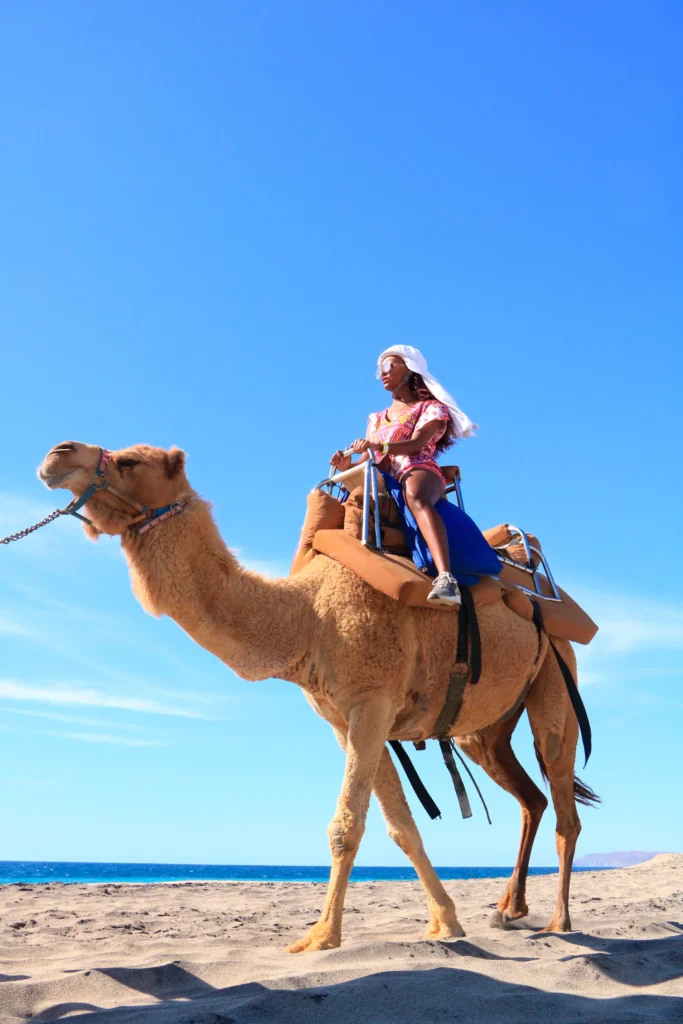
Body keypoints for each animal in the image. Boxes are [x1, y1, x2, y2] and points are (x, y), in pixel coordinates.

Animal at [38, 439, 598, 952]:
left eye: (130, 461)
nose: (56, 454)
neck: (309, 618)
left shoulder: (371, 703)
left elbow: (346, 825)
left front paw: (321, 937)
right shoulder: (346, 719)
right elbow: (401, 825)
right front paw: (445, 923)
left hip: (555, 678)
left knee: (564, 802)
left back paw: (558, 922)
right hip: (484, 728)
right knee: (530, 797)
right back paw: (508, 909)